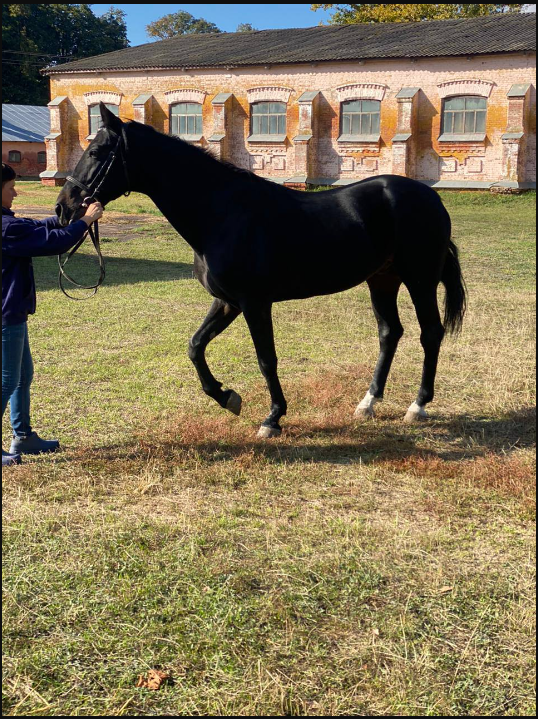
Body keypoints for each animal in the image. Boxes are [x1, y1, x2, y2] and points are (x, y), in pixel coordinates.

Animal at [55, 103, 464, 436]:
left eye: (96, 151)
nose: (64, 206)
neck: (222, 214)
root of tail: (430, 198)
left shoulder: (254, 303)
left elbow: (266, 359)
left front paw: (273, 417)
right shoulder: (227, 302)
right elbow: (195, 346)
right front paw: (226, 397)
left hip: (419, 280)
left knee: (430, 333)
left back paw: (418, 406)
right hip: (382, 280)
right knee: (389, 333)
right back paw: (368, 403)